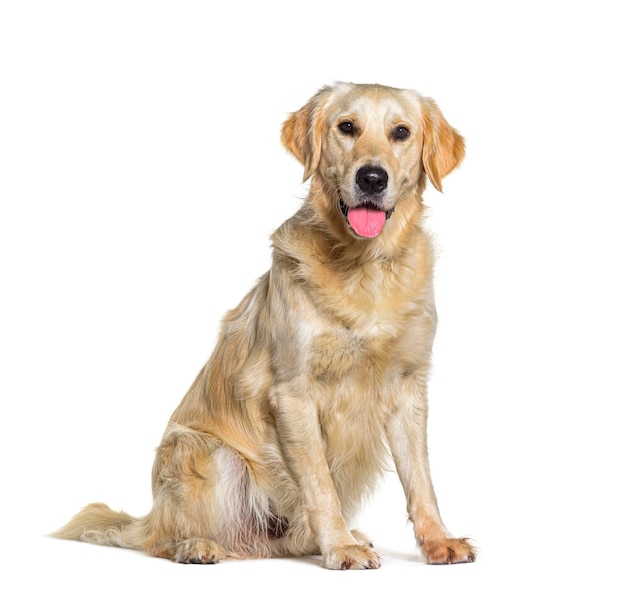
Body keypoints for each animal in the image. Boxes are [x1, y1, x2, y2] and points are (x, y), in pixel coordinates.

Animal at [53, 81, 476, 568]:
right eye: (347, 127)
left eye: (401, 132)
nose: (372, 177)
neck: (364, 267)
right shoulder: (293, 391)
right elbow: (320, 485)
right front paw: (340, 547)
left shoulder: (407, 386)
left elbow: (421, 480)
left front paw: (438, 540)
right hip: (204, 452)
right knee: (162, 538)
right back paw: (196, 546)